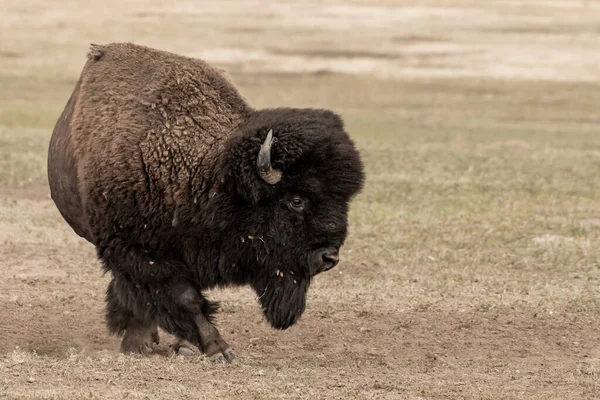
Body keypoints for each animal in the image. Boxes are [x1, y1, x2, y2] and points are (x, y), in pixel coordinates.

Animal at [47, 43, 364, 362]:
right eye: (296, 200)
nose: (329, 257)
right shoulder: (134, 249)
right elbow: (183, 297)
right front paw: (219, 350)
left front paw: (181, 345)